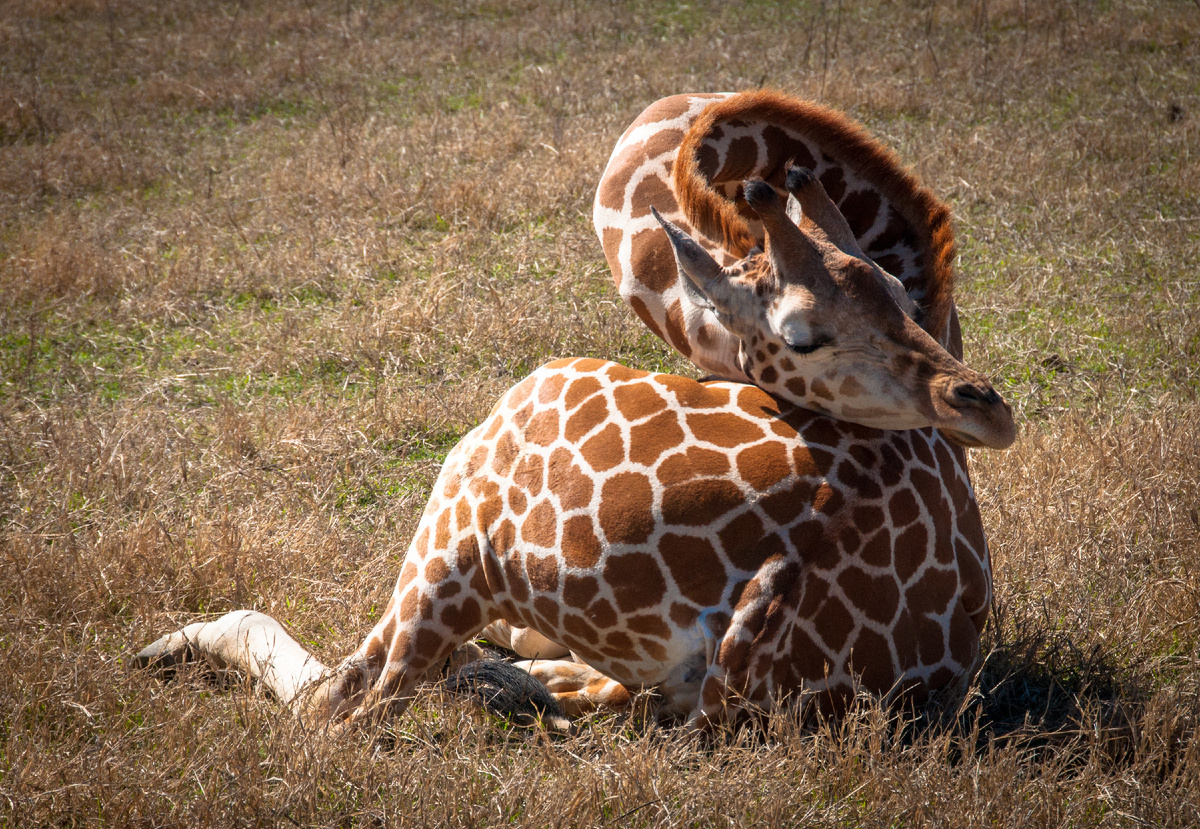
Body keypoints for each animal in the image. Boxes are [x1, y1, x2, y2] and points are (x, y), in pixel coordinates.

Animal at [136, 166, 1017, 724]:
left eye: (900, 290)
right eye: (803, 334)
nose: (986, 406)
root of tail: (781, 576)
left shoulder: (453, 533)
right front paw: (512, 675)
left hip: (457, 548)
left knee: (347, 700)